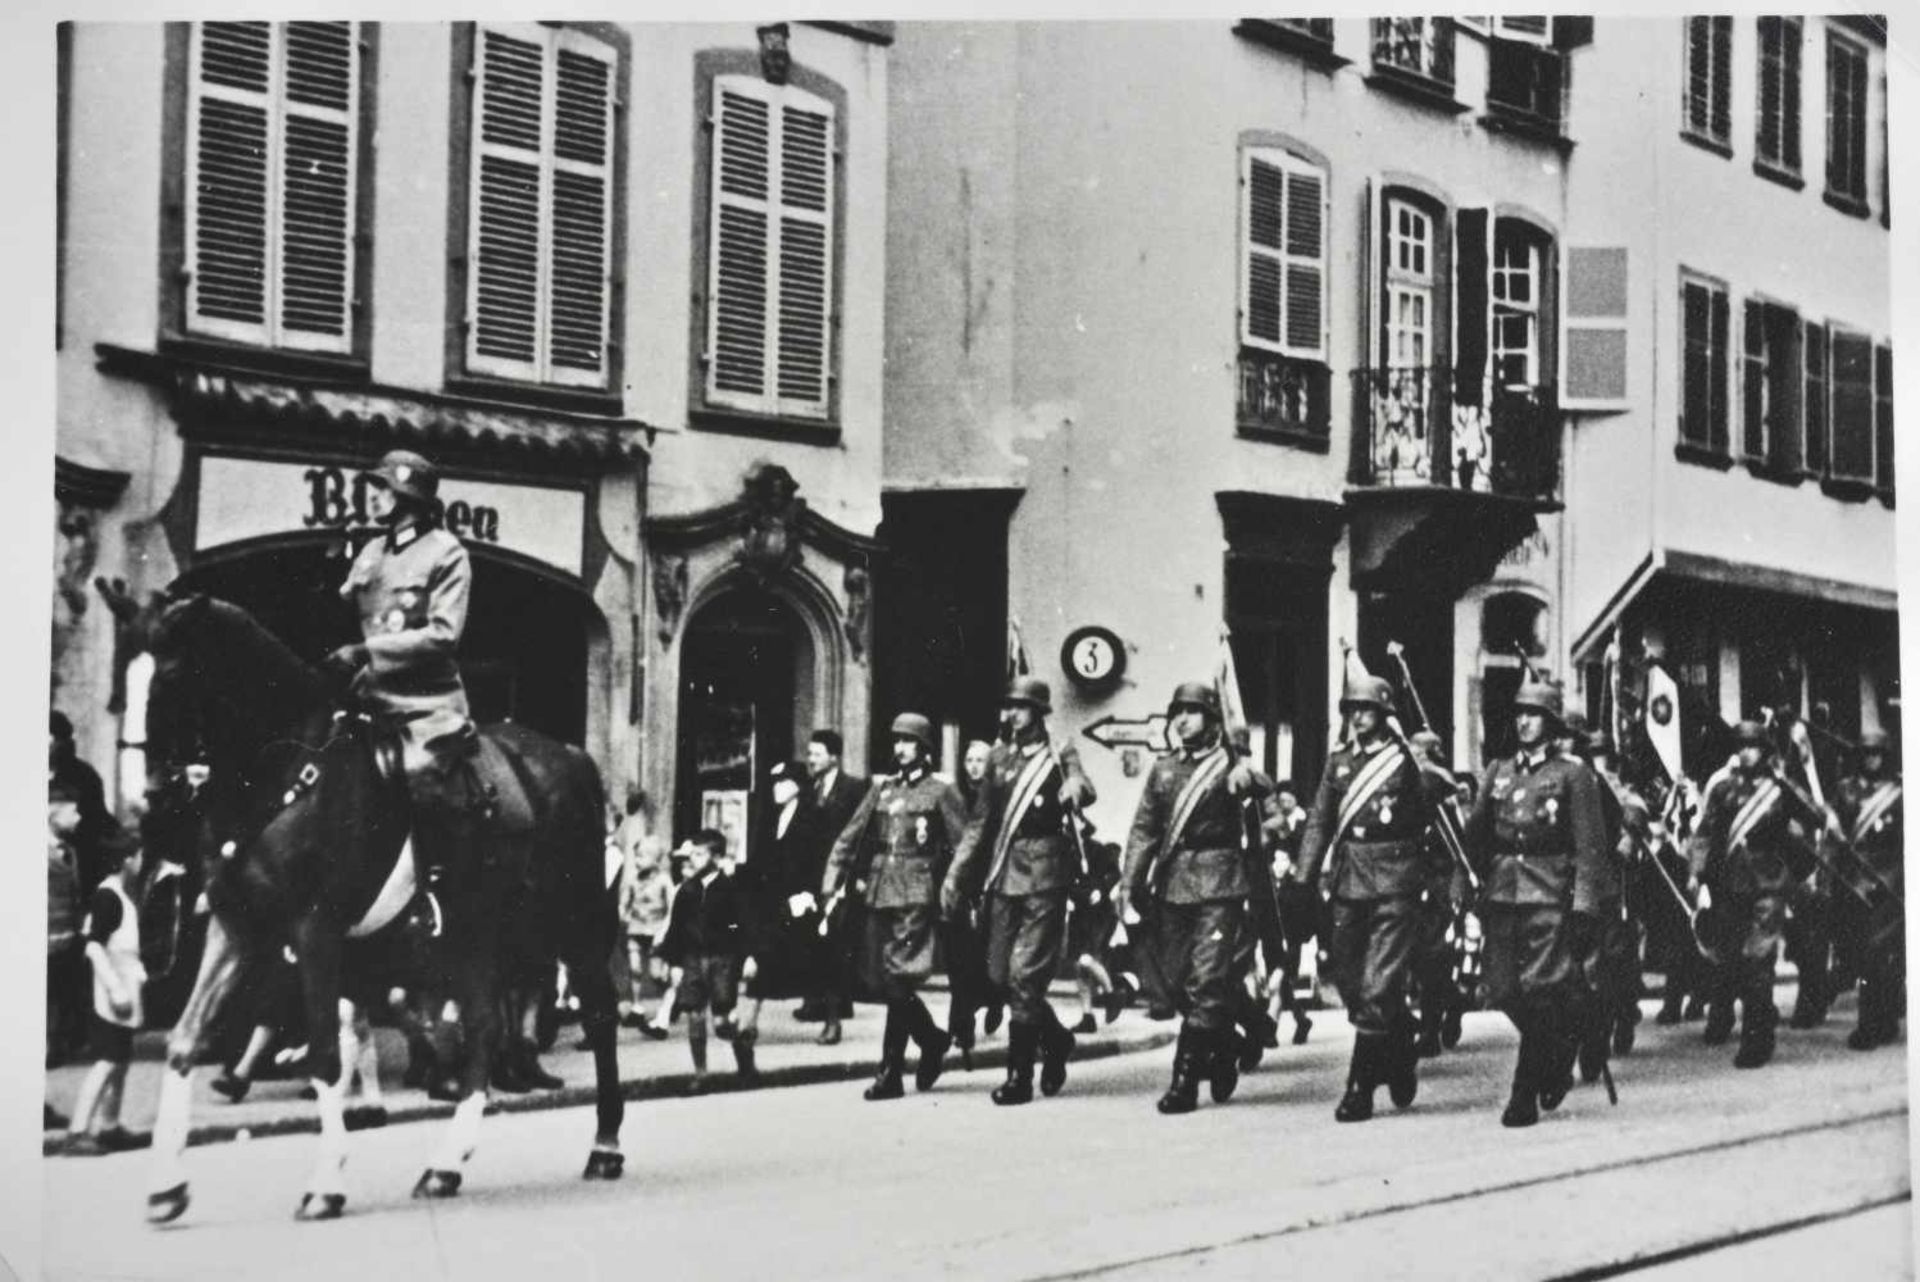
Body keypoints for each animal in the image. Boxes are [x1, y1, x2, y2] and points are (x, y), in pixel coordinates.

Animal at [103, 587, 622, 1228]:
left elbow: (326, 1055)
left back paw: (605, 1146)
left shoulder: (314, 931)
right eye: (118, 684)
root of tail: (572, 755)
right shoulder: (236, 930)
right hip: (475, 938)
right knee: (482, 1028)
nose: (140, 803)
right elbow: (184, 1041)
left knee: (599, 1017)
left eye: (173, 677)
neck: (281, 777)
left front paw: (325, 1184)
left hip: (574, 926)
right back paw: (446, 1165)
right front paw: (167, 1186)